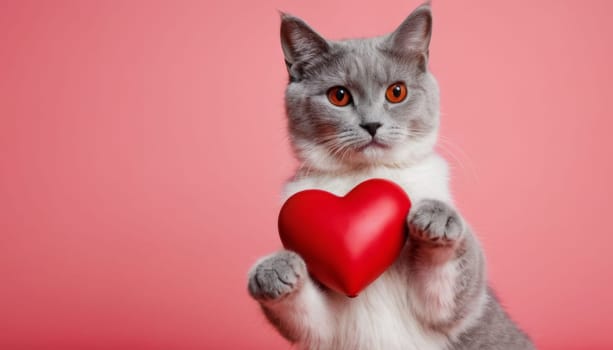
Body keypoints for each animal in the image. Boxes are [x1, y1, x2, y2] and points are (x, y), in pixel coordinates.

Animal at [246, 3, 532, 350]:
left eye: (397, 92)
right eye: (338, 95)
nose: (371, 124)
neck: (366, 175)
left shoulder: (451, 311)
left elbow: (450, 291)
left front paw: (437, 219)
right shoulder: (326, 328)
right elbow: (310, 319)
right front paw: (274, 270)